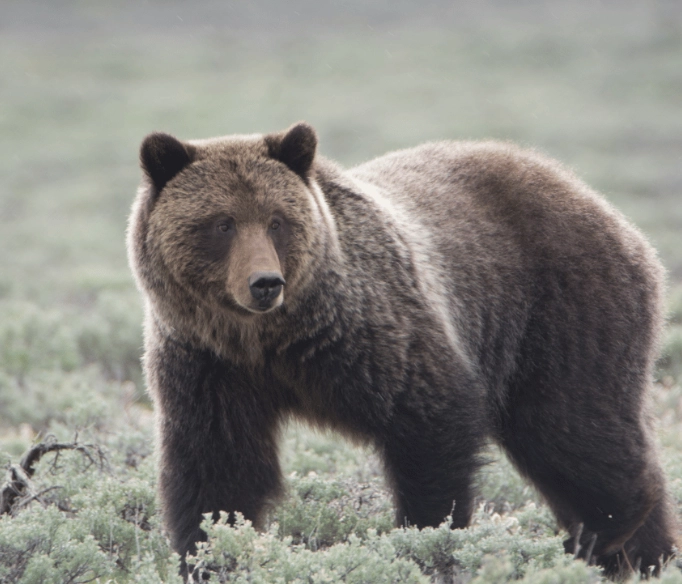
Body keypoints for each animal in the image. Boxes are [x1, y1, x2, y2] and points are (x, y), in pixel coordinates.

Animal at [127, 122, 679, 578]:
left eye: (277, 220)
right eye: (222, 223)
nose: (265, 283)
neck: (272, 341)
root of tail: (596, 200)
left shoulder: (371, 335)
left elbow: (431, 426)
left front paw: (426, 539)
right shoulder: (210, 364)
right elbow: (218, 469)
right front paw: (210, 553)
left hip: (561, 311)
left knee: (573, 429)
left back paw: (608, 536)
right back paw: (643, 555)